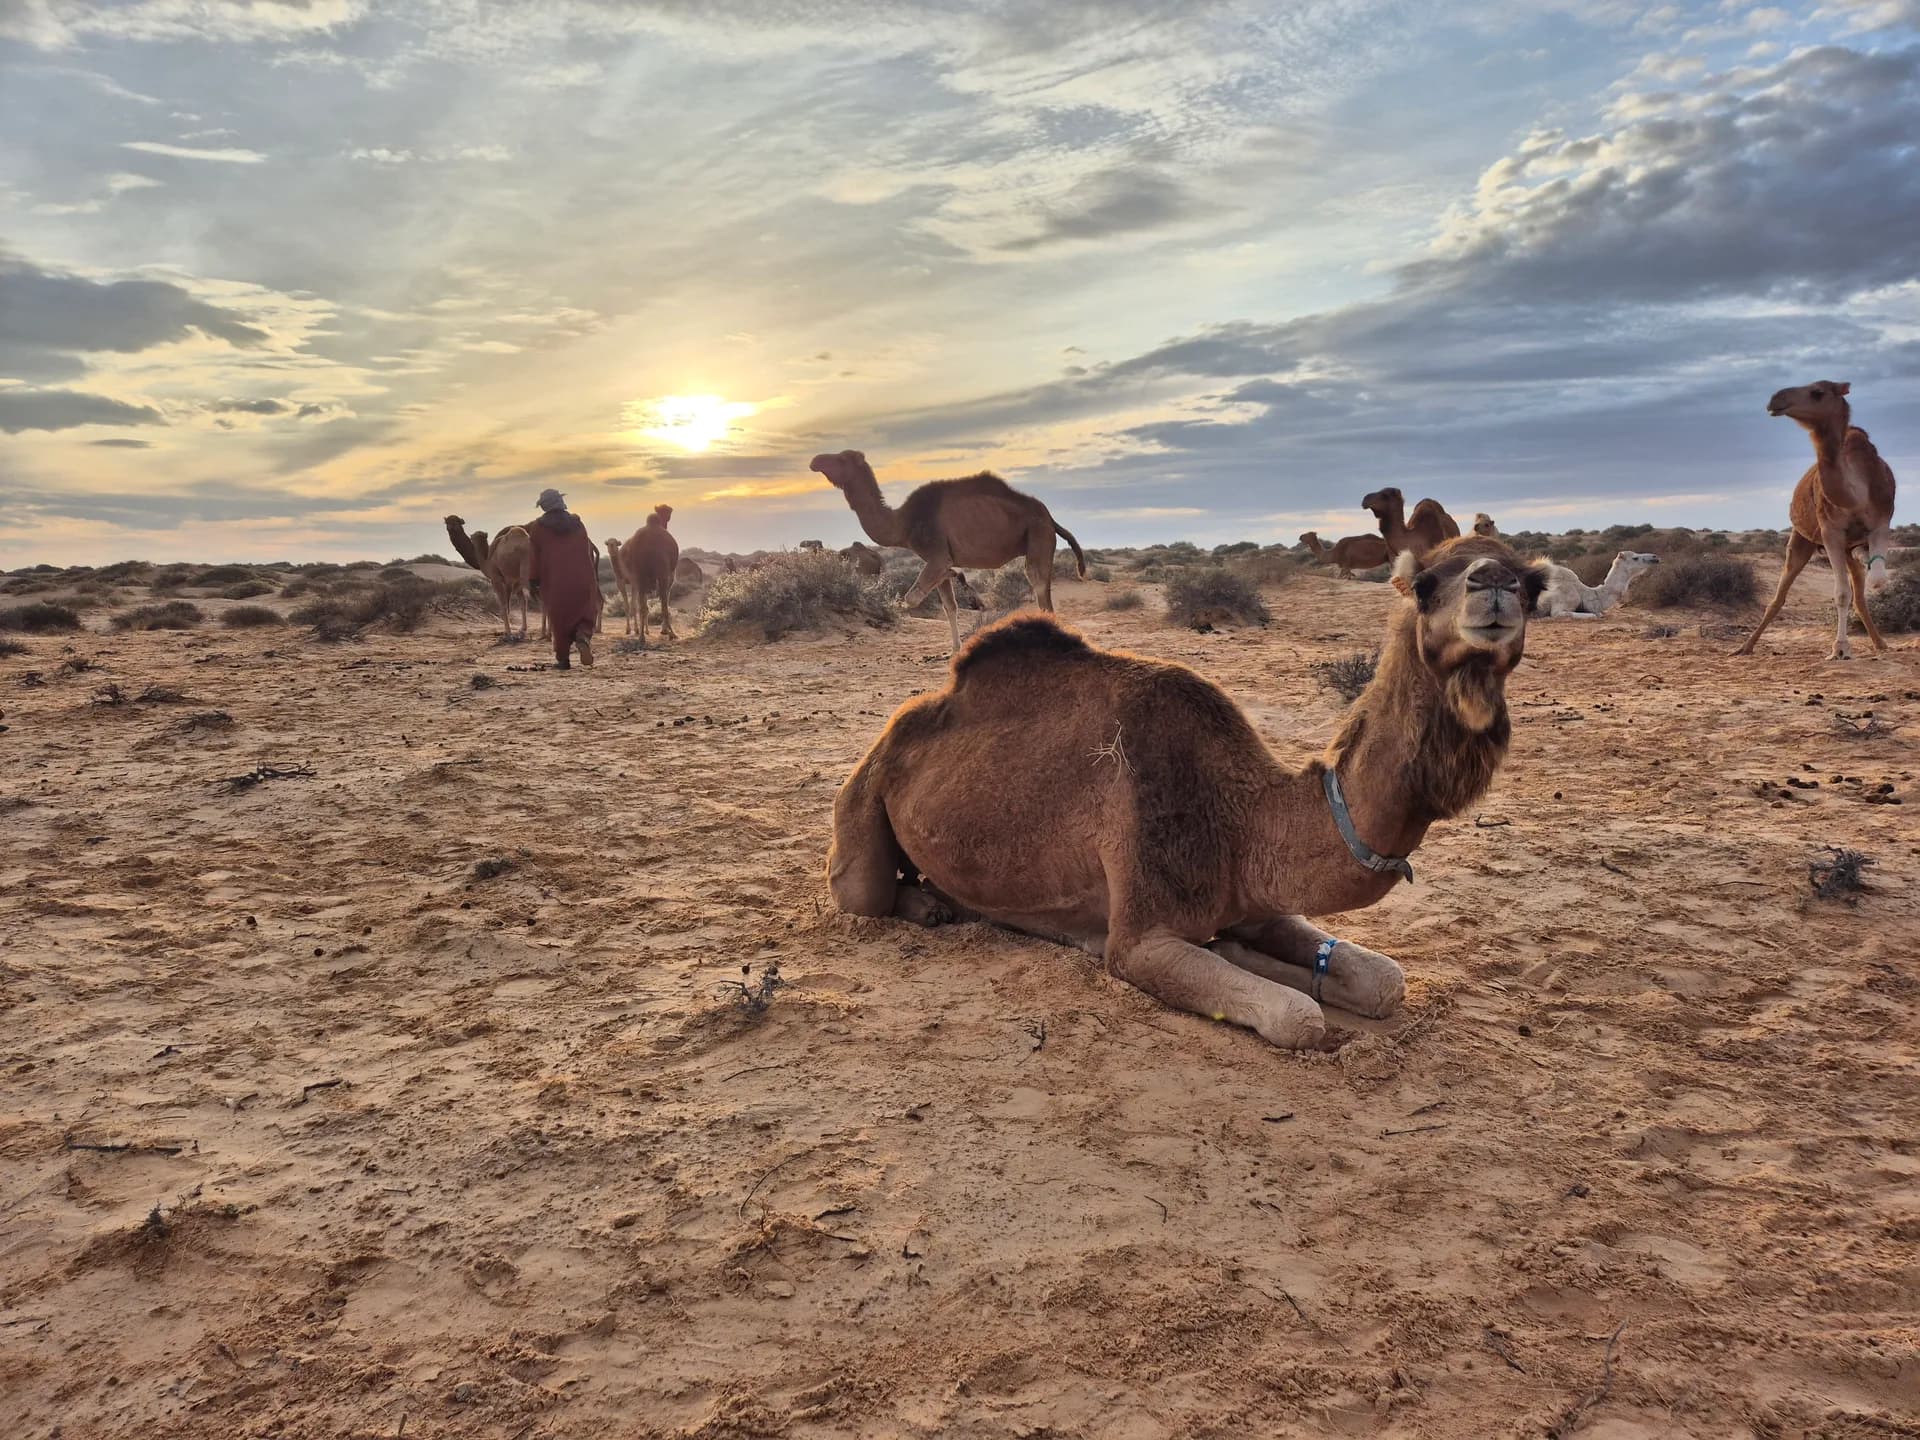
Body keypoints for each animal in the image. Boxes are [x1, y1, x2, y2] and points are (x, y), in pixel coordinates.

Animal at [608, 505, 681, 642]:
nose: (667, 518)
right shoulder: (667, 577)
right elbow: (664, 602)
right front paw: (665, 630)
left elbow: (647, 605)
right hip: (654, 573)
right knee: (656, 604)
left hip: (639, 575)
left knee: (641, 605)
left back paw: (641, 635)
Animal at [810, 451, 1088, 651]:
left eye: (841, 458)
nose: (815, 461)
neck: (904, 523)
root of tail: (1050, 518)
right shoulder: (941, 561)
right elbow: (949, 606)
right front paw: (955, 650)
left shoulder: (937, 554)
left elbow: (910, 599)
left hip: (1037, 535)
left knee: (1039, 587)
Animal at [828, 534, 1552, 1049]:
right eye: (1426, 584)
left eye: (1532, 582)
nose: (1493, 585)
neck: (1244, 815)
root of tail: (895, 728)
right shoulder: (1140, 936)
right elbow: (1298, 1016)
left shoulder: (1254, 897)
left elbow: (1383, 982)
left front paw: (1244, 951)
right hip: (862, 804)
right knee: (866, 892)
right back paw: (931, 909)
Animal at [1732, 381, 1896, 661]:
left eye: (1817, 392)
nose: (1775, 400)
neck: (1858, 491)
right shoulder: (1830, 530)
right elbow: (1841, 593)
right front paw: (1840, 649)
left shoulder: (1881, 521)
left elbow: (1875, 578)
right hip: (1801, 538)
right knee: (1779, 596)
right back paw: (1745, 646)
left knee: (1859, 594)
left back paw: (1880, 643)